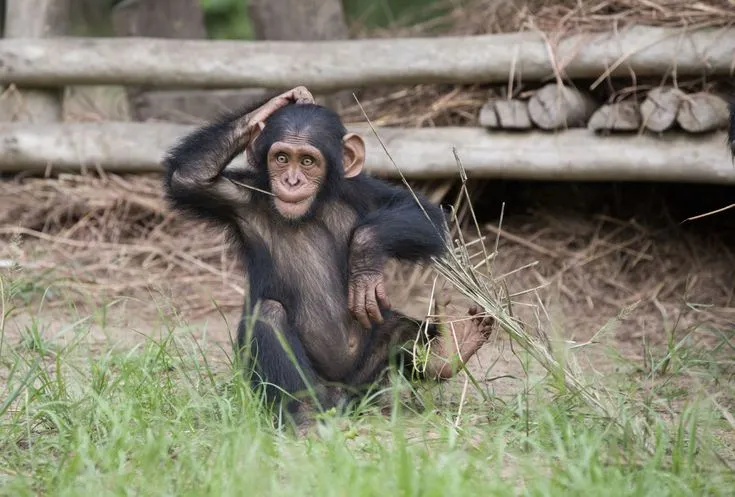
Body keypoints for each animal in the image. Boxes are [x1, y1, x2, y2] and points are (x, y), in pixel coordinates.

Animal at [162, 86, 493, 426]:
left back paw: (448, 350)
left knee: (398, 330)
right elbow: (190, 179)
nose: (291, 180)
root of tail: (344, 397)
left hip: (369, 379)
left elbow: (426, 215)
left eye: (308, 161)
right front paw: (276, 103)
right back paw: (305, 416)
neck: (311, 210)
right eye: (281, 158)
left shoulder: (362, 190)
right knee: (268, 316)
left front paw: (365, 257)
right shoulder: (238, 198)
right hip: (313, 387)